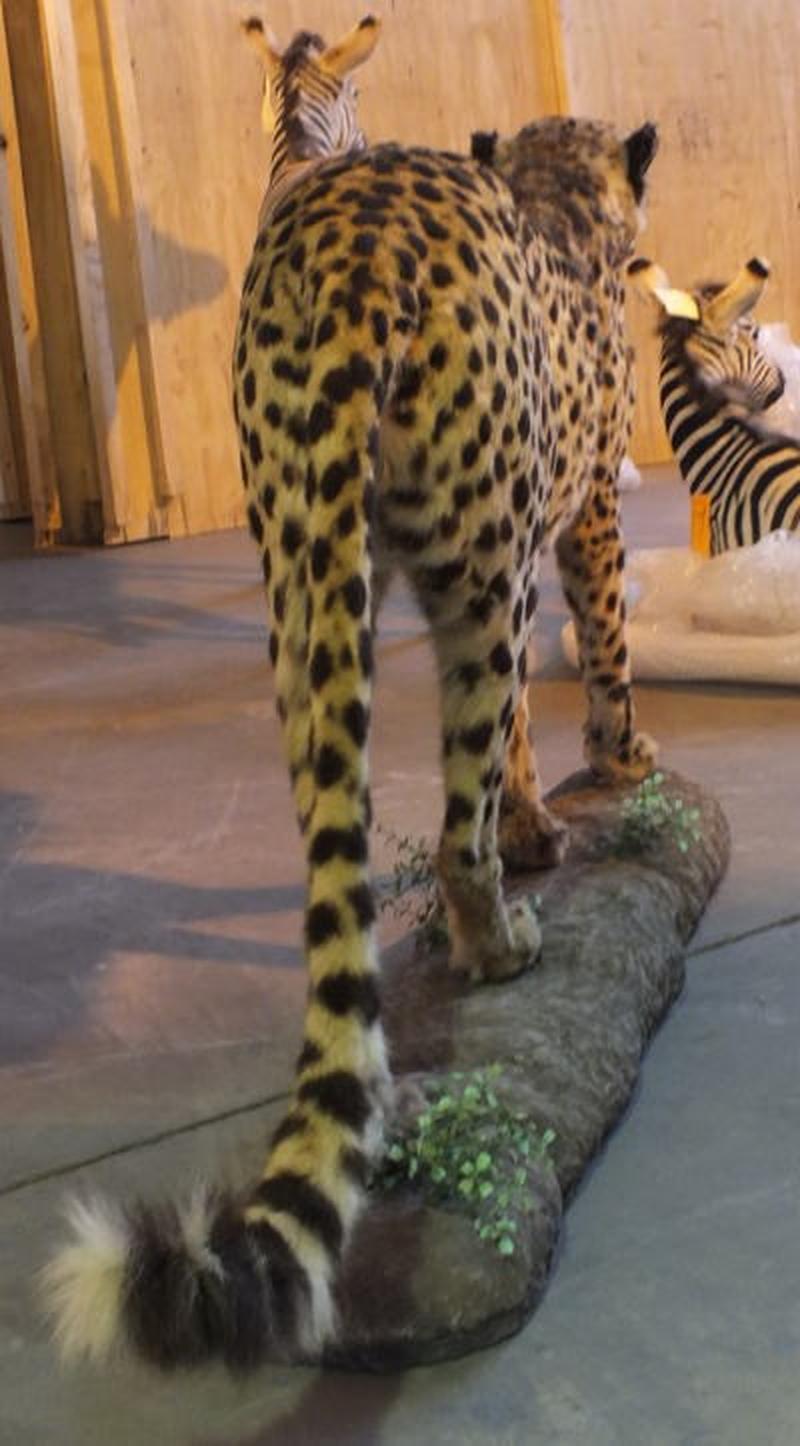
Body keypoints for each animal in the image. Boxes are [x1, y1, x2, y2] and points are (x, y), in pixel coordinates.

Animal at [43, 113, 659, 1373]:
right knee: (458, 809)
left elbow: (521, 742)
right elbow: (598, 656)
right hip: (471, 572)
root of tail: (356, 236)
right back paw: (496, 944)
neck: (555, 201)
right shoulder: (578, 519)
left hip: (304, 575)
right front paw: (619, 769)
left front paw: (539, 824)